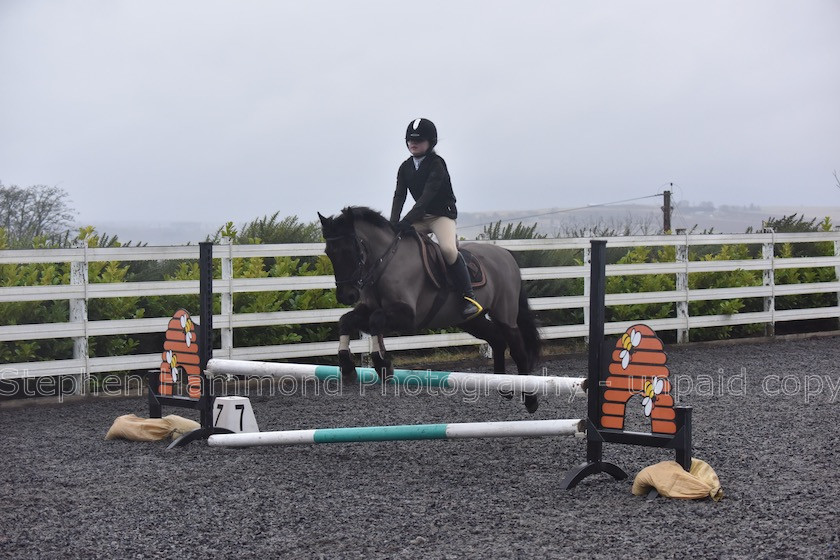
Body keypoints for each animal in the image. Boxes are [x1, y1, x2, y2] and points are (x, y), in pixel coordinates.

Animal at [318, 206, 540, 412]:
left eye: (349, 250)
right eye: (329, 252)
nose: (346, 296)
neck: (386, 263)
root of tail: (506, 255)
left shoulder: (407, 316)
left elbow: (376, 320)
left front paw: (382, 365)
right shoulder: (368, 309)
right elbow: (346, 320)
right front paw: (347, 368)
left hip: (504, 314)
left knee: (518, 351)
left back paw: (530, 400)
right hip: (471, 321)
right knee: (497, 339)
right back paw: (504, 387)